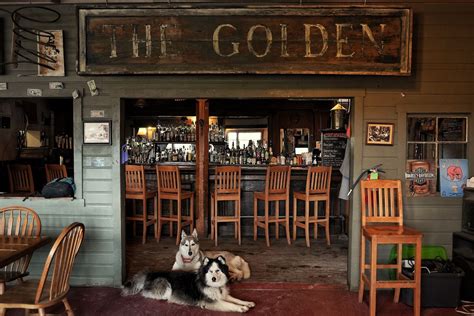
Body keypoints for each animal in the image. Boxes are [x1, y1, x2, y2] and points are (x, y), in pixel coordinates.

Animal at [122, 256, 256, 314]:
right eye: (210, 271)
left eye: (217, 270)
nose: (213, 278)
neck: (214, 286)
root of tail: (150, 273)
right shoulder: (211, 301)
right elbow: (230, 304)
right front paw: (241, 308)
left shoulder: (222, 295)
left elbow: (236, 299)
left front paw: (247, 303)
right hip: (166, 286)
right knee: (147, 293)